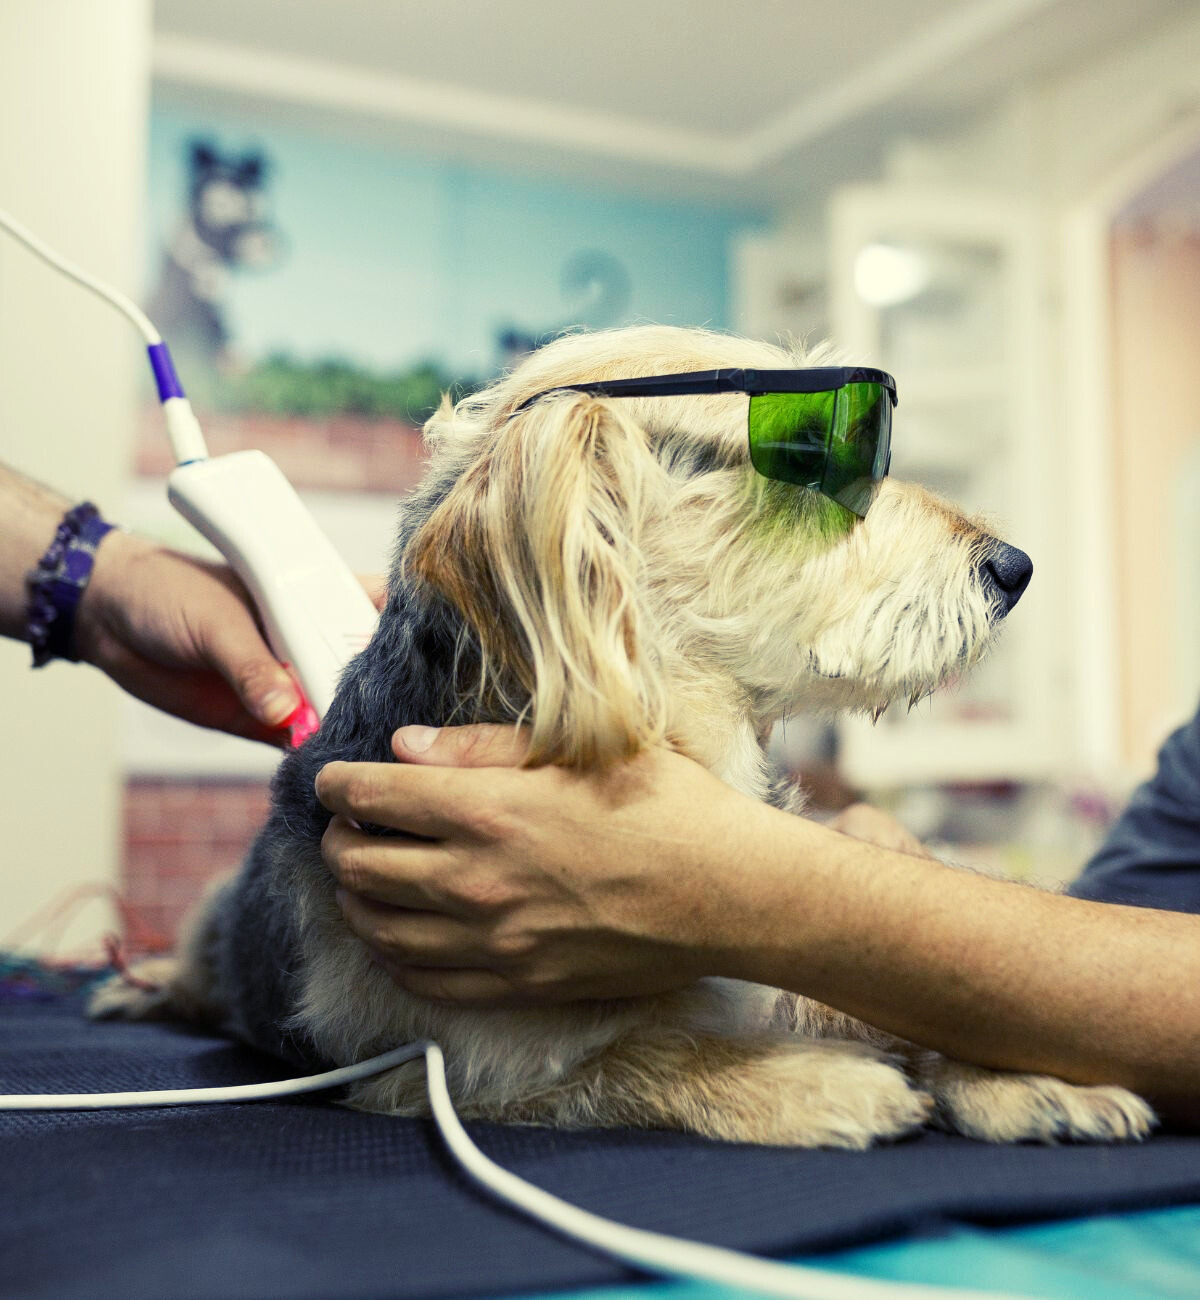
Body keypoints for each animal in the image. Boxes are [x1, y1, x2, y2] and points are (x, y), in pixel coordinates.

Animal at [98, 325, 1159, 1149]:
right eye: (809, 453)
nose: (1014, 567)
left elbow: (885, 993)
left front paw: (1016, 1077)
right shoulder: (455, 1061)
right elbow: (649, 1047)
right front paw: (808, 1079)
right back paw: (147, 984)